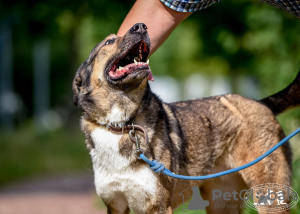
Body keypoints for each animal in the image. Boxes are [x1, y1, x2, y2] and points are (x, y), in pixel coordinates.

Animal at [72, 22, 300, 213]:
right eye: (109, 42)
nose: (141, 26)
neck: (121, 124)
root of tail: (261, 103)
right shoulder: (116, 205)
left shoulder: (157, 207)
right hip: (221, 203)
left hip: (268, 196)